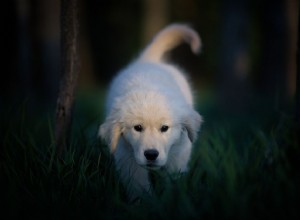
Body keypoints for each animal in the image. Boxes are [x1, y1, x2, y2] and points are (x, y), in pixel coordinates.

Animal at [99, 24, 203, 201]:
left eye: (165, 128)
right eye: (137, 128)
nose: (151, 154)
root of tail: (149, 61)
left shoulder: (179, 151)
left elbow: (173, 177)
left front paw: (172, 197)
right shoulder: (127, 155)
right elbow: (138, 182)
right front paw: (144, 202)